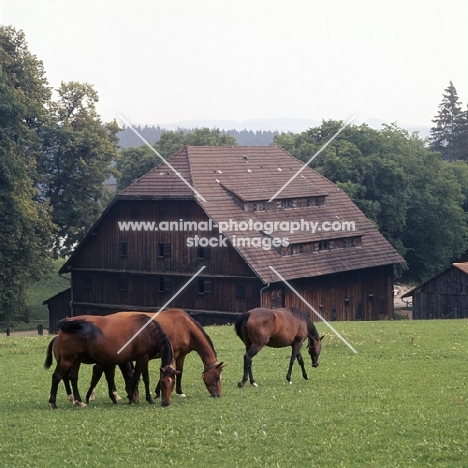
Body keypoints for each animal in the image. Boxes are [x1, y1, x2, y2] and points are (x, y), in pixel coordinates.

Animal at [45, 312, 178, 408]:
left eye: (173, 382)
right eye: (162, 382)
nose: (166, 403)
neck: (148, 331)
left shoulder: (138, 360)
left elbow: (134, 378)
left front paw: (131, 398)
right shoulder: (143, 359)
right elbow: (145, 379)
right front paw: (148, 399)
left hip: (76, 360)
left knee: (73, 378)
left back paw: (79, 401)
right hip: (68, 360)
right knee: (57, 377)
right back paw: (53, 402)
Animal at [88, 308, 229, 400]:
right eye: (217, 377)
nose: (218, 395)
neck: (186, 327)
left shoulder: (182, 354)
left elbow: (179, 372)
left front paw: (179, 392)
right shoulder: (175, 353)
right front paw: (158, 392)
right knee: (99, 370)